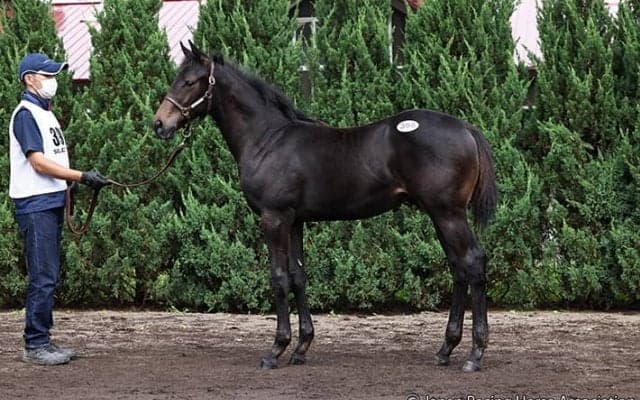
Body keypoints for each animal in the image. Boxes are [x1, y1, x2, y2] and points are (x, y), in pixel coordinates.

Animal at [153, 41, 498, 372]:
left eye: (189, 81)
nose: (159, 124)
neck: (268, 140)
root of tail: (466, 129)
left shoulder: (274, 218)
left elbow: (279, 277)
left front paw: (276, 350)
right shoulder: (295, 221)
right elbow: (298, 276)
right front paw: (301, 348)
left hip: (448, 214)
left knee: (473, 262)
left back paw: (475, 355)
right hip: (439, 215)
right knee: (458, 268)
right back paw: (445, 350)